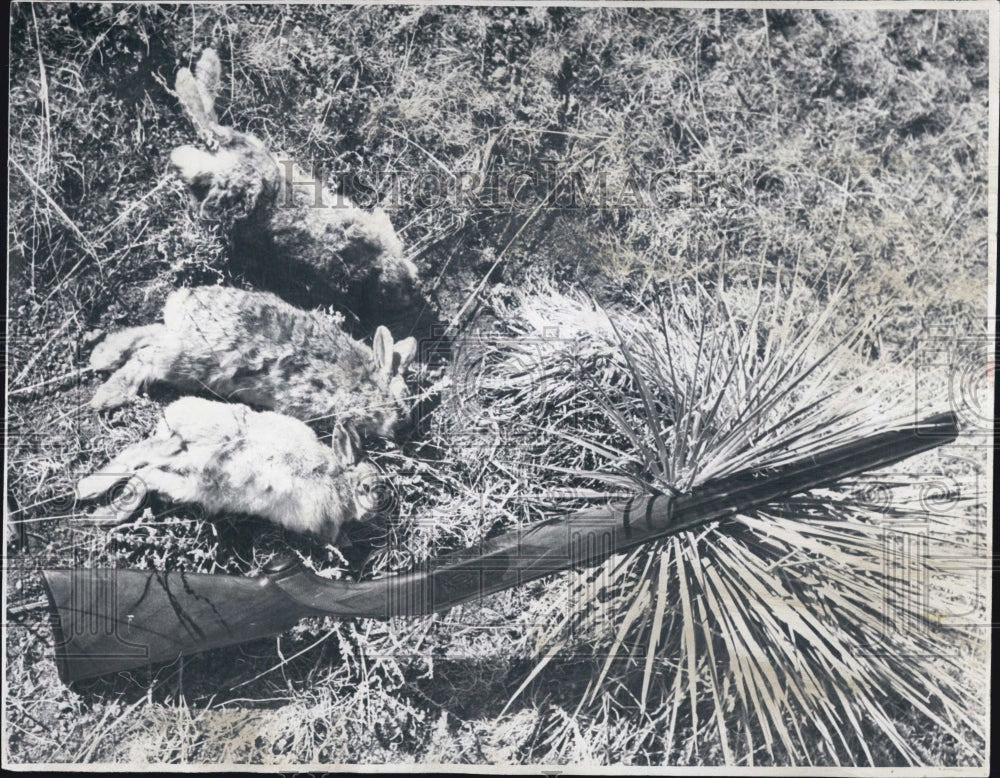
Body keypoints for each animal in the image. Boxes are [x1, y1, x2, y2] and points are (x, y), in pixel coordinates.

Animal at [74, 394, 384, 540]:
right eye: (368, 486)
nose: (374, 511)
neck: (338, 480)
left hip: (189, 483)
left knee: (142, 470)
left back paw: (97, 507)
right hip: (198, 448)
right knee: (144, 463)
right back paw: (89, 494)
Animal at [88, 284, 420, 442]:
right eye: (401, 396)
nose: (404, 425)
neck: (363, 381)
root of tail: (181, 302)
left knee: (149, 335)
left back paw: (101, 354)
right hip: (189, 361)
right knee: (146, 357)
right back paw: (105, 396)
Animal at [168, 47, 434, 336]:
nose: (419, 290)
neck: (373, 267)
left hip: (233, 168)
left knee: (202, 138)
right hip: (245, 170)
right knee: (203, 139)